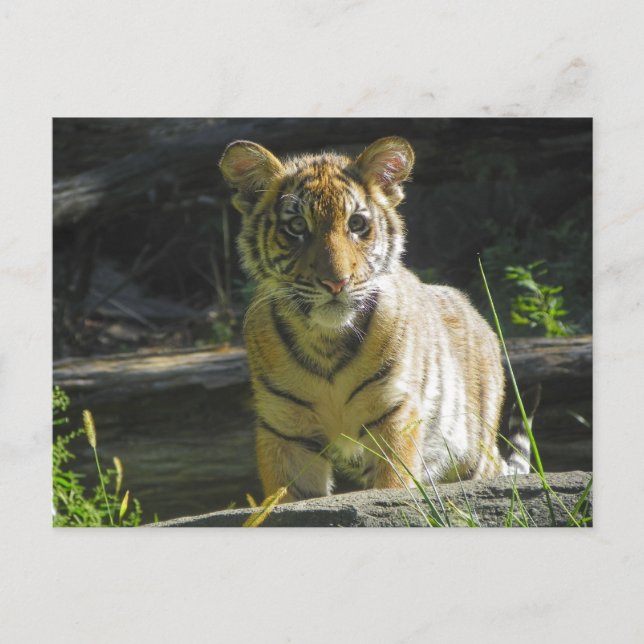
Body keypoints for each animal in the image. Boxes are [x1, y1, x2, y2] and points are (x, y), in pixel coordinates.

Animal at [219, 136, 530, 504]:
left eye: (356, 224)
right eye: (297, 227)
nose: (336, 282)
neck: (326, 339)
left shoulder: (394, 413)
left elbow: (394, 485)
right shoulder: (285, 429)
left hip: (472, 448)